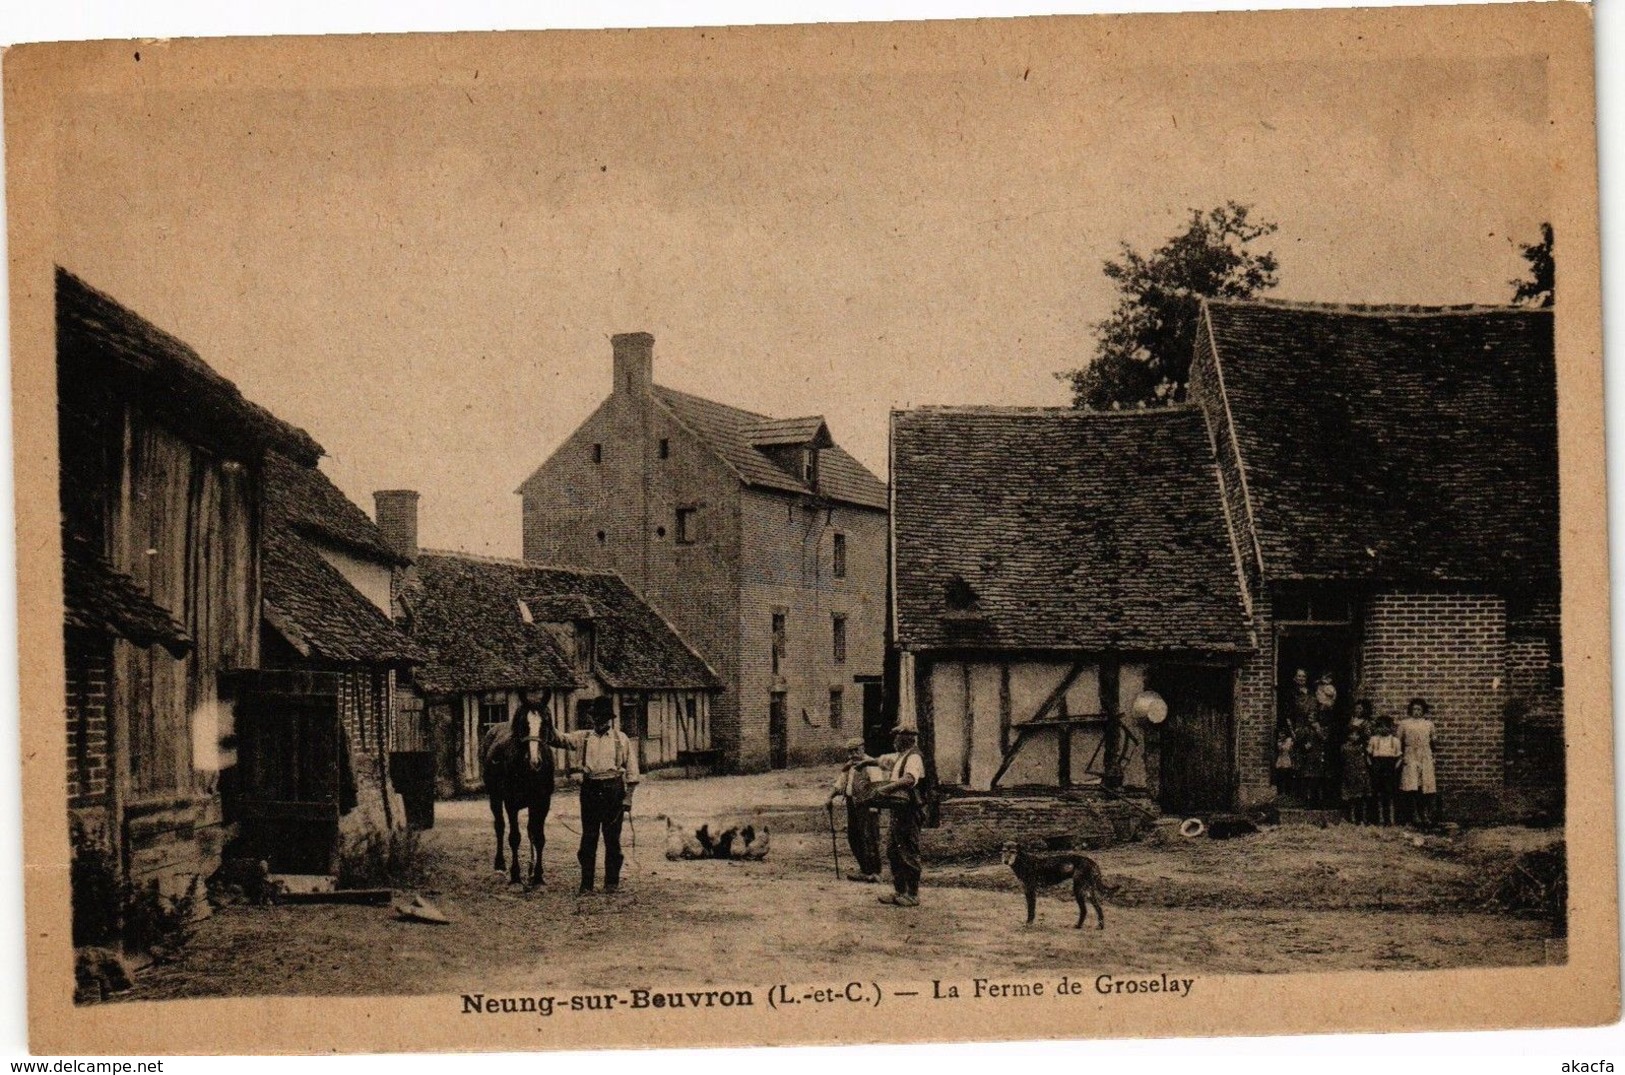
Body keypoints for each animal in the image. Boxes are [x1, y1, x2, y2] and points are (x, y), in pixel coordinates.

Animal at [477, 704, 555, 889]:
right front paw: (516, 875)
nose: (535, 761)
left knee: (530, 831)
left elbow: (538, 837)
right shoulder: (511, 803)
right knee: (499, 826)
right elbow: (514, 837)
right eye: (523, 725)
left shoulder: (542, 803)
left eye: (546, 723)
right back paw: (499, 864)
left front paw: (537, 875)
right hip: (495, 797)